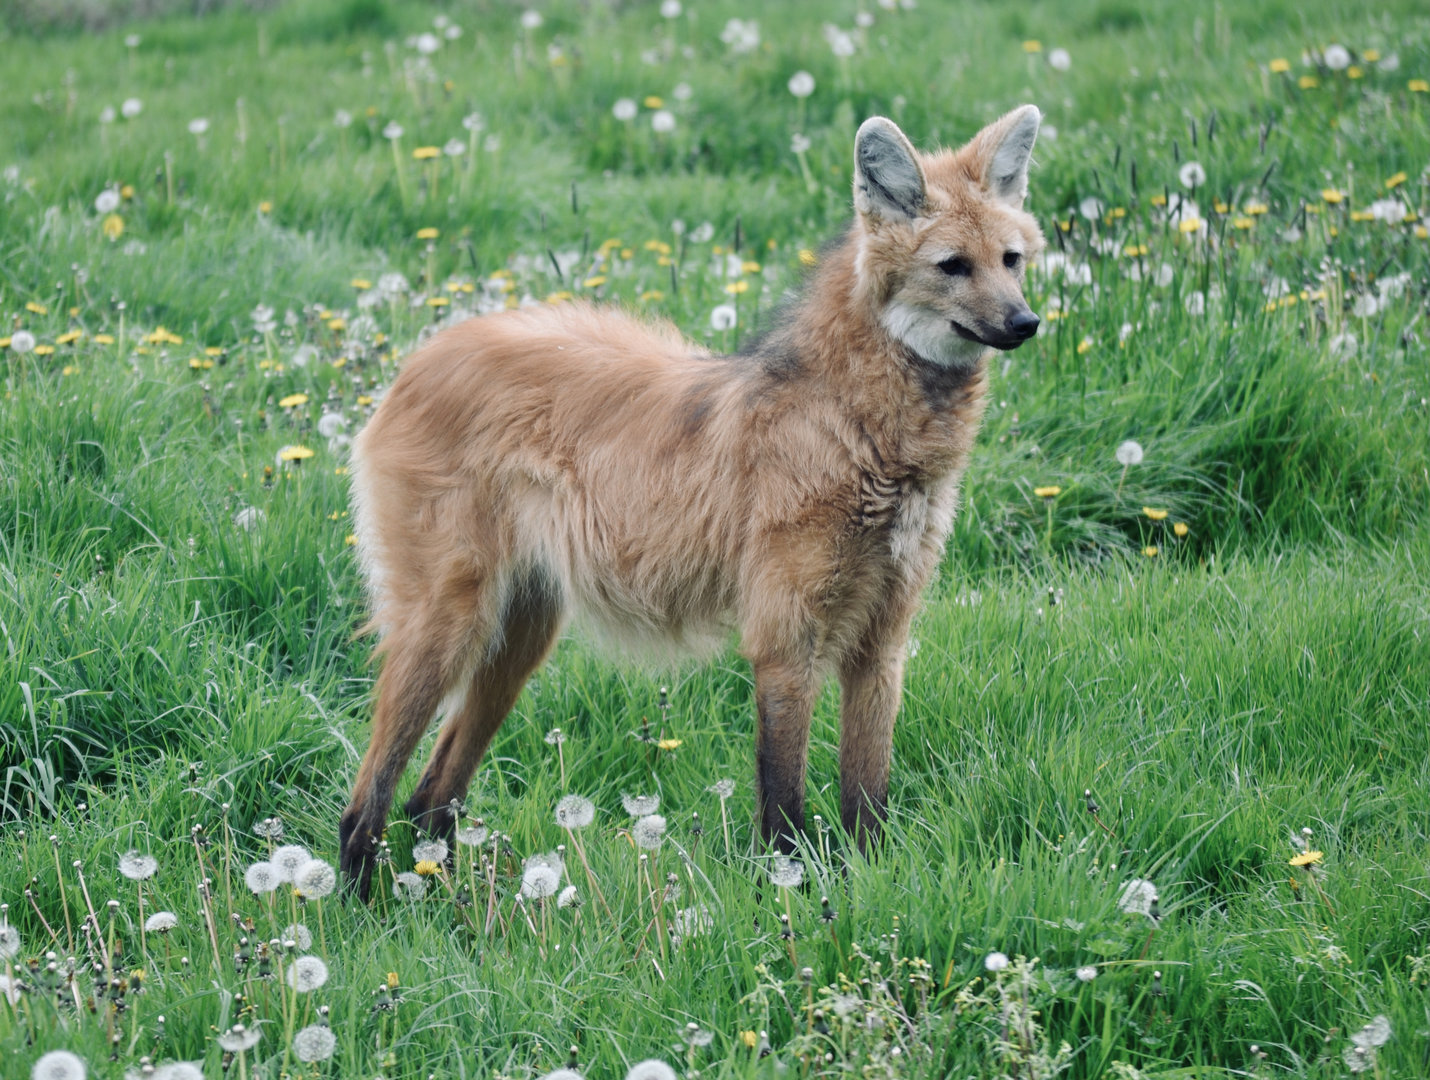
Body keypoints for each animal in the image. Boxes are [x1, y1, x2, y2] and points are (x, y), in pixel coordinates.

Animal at [339, 105, 1044, 897]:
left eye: (1011, 260)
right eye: (953, 266)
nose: (1025, 323)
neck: (864, 432)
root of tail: (423, 352)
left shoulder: (882, 640)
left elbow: (869, 794)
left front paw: (871, 884)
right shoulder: (785, 637)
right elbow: (784, 800)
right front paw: (790, 896)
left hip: (520, 633)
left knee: (434, 794)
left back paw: (457, 902)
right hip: (448, 620)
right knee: (367, 800)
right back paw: (368, 910)